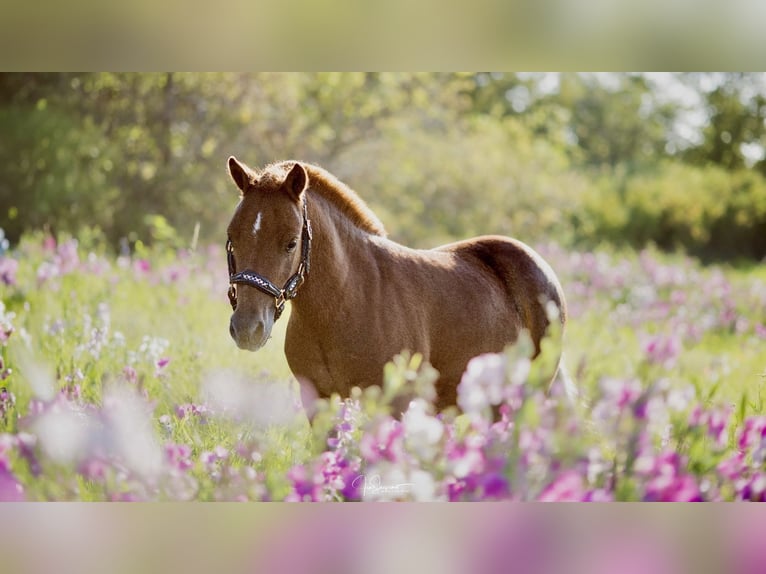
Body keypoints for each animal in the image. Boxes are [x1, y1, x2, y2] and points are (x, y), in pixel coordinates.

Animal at [225, 158, 568, 416]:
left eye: (291, 242)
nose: (248, 329)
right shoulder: (320, 402)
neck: (344, 302)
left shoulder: (394, 405)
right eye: (232, 237)